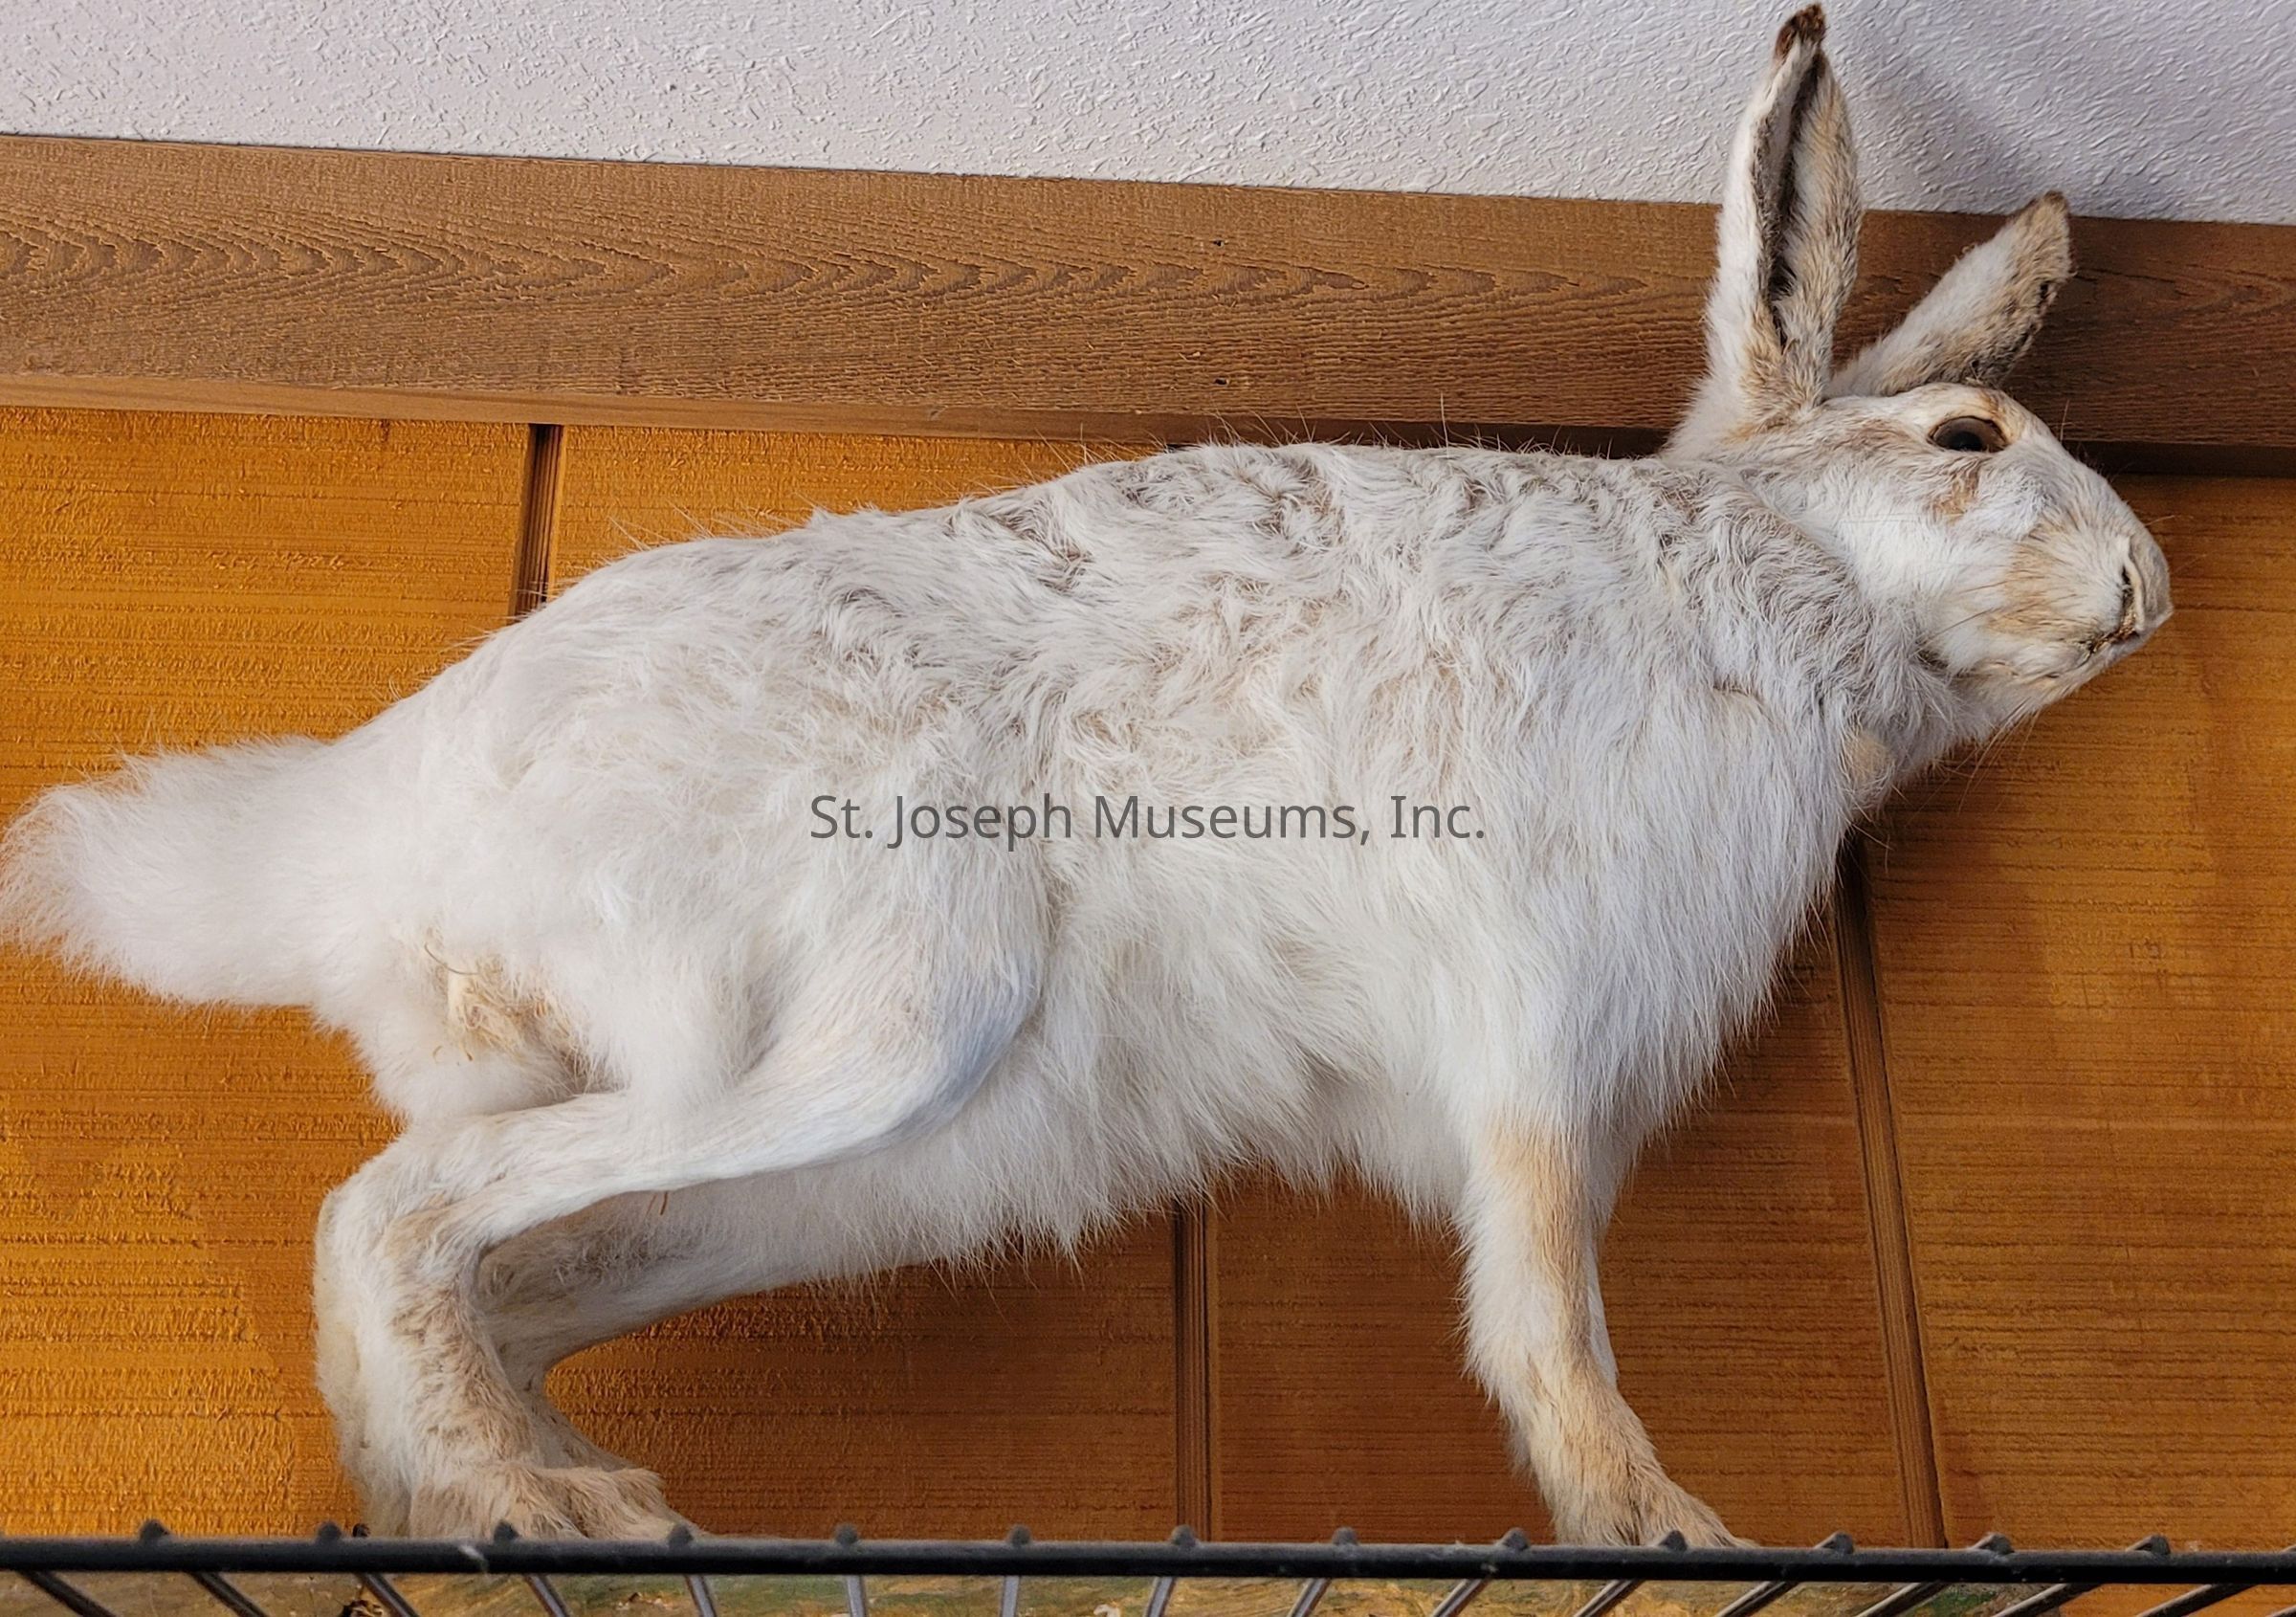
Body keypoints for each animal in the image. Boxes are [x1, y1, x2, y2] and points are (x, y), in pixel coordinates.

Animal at [0, 4, 2170, 1546]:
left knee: (491, 1270)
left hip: (841, 1156)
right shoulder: (1536, 1027)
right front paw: (1662, 1527)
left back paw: (543, 1492)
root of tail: (352, 849)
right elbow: (1545, 1308)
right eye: (1970, 440)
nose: (2148, 593)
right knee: (391, 1208)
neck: (1759, 579)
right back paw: (531, 1505)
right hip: (885, 1013)